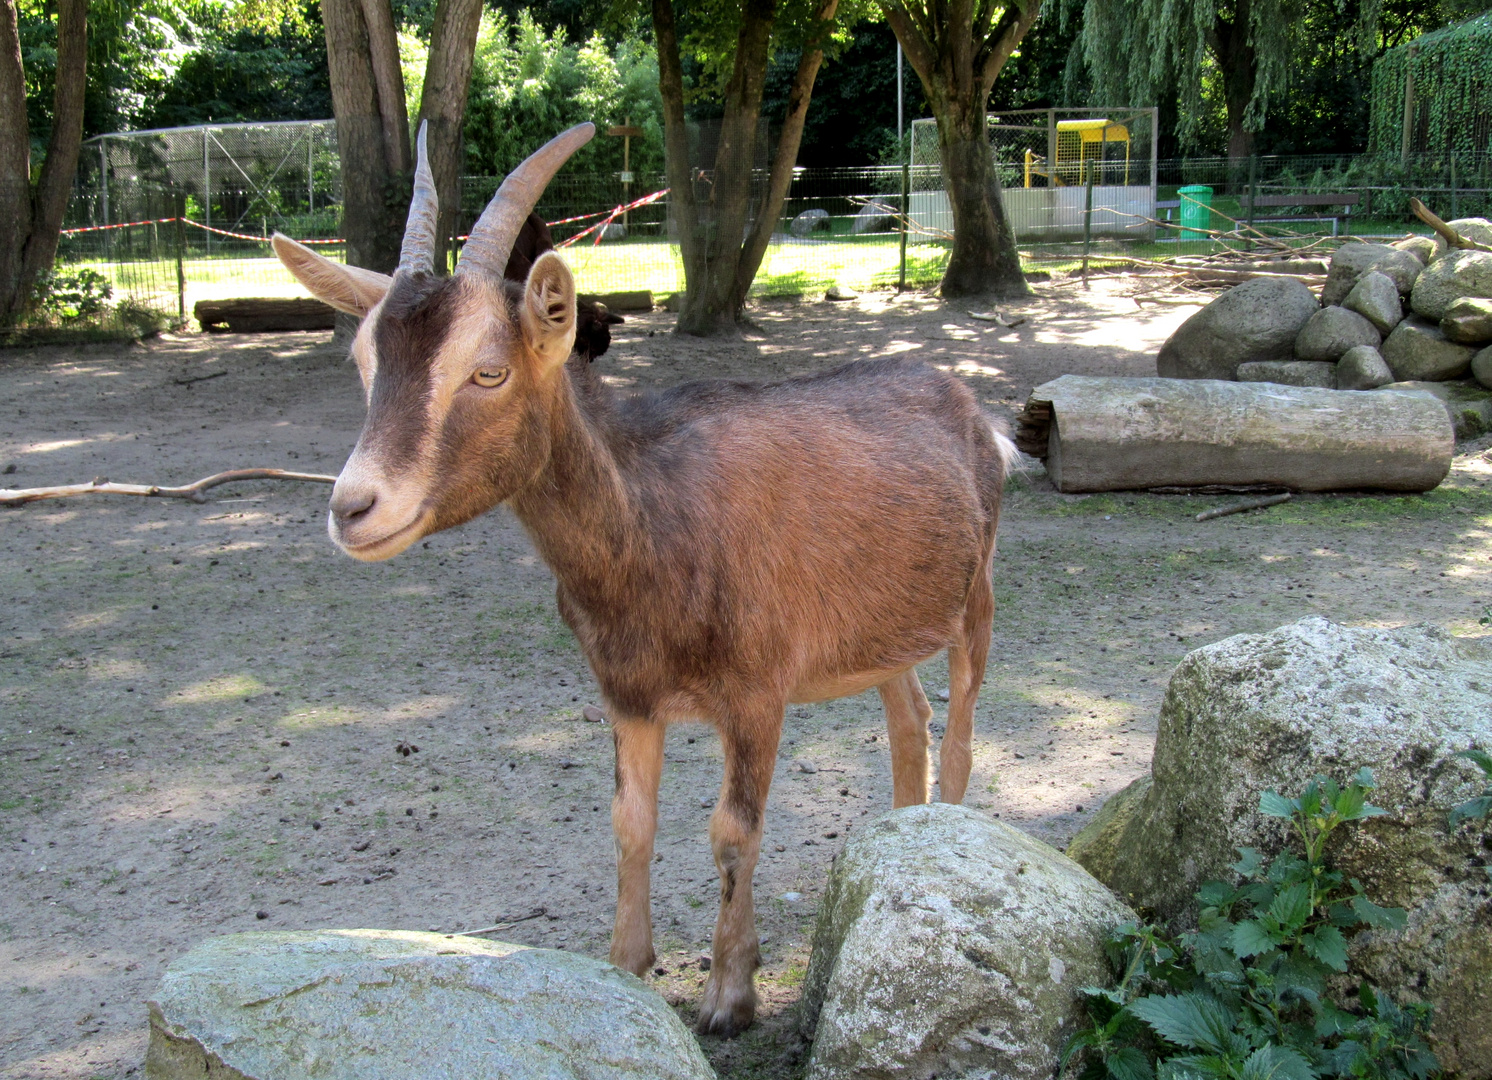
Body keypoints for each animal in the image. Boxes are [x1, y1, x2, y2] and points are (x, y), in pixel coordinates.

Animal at [271, 120, 1014, 1038]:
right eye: (365, 364)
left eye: (489, 370)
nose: (354, 508)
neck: (655, 524)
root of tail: (973, 408)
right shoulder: (624, 691)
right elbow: (629, 822)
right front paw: (627, 964)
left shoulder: (757, 692)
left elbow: (733, 832)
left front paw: (729, 995)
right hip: (881, 629)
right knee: (909, 719)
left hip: (976, 597)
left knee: (962, 731)